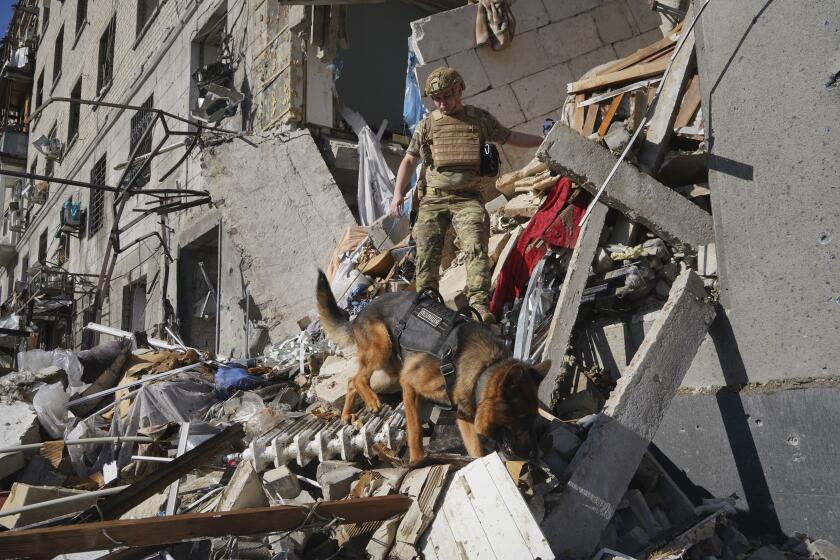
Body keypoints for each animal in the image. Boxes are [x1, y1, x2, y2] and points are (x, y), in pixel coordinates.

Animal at [316, 272, 552, 464]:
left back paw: (347, 413)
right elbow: (414, 431)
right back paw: (371, 401)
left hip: (390, 377)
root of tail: (357, 315)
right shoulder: (409, 384)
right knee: (358, 378)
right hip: (383, 349)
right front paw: (417, 460)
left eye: (533, 418)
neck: (482, 372)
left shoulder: (463, 416)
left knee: (352, 380)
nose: (536, 455)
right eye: (522, 419)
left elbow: (476, 451)